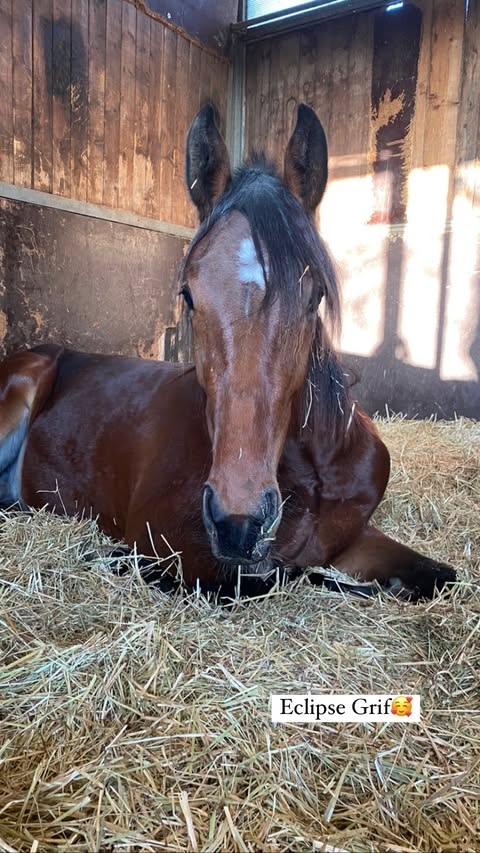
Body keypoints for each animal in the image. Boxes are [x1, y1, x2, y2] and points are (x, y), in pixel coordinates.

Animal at [0, 103, 455, 600]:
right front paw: (110, 558)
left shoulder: (356, 539)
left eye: (313, 296)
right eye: (188, 295)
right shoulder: (168, 543)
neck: (317, 472)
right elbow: (279, 578)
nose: (239, 521)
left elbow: (437, 577)